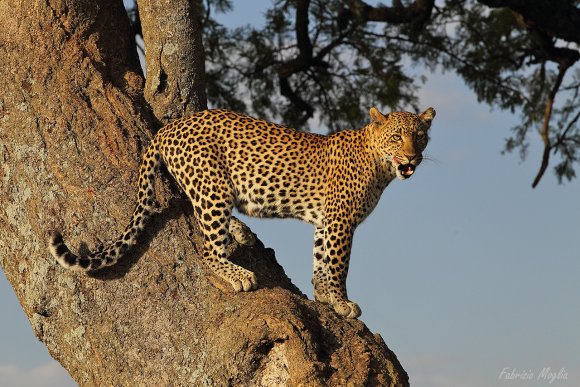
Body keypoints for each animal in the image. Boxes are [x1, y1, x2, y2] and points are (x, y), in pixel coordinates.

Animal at [49, 106, 436, 318]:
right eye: (397, 136)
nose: (413, 157)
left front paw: (324, 295)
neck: (381, 166)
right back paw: (239, 274)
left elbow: (321, 260)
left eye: (420, 137)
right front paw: (342, 302)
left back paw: (240, 232)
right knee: (207, 249)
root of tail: (167, 128)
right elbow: (339, 265)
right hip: (214, 185)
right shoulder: (341, 220)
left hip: (199, 183)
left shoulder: (326, 221)